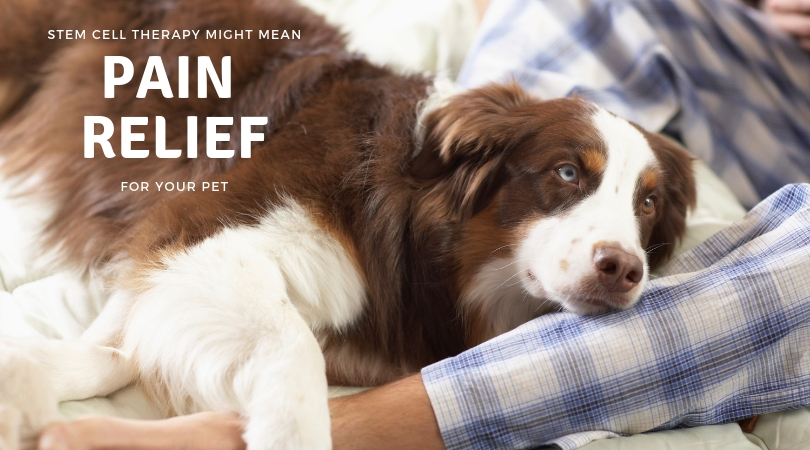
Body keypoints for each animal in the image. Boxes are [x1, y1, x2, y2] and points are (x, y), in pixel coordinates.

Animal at [0, 0, 696, 448]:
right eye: (568, 173)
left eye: (647, 205)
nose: (623, 268)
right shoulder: (199, 231)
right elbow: (291, 350)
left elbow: (111, 351)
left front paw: (29, 380)